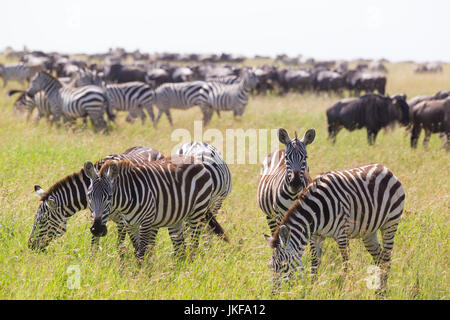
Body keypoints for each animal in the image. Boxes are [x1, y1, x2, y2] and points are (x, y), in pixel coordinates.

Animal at [28, 146, 163, 251]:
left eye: (42, 221)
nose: (30, 246)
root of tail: (151, 148)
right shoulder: (95, 219)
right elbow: (94, 246)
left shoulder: (122, 221)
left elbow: (120, 247)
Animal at [83, 155, 222, 262]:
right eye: (89, 195)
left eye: (110, 197)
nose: (96, 229)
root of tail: (195, 160)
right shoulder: (130, 225)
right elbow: (136, 250)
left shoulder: (145, 223)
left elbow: (141, 253)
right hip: (177, 218)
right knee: (180, 248)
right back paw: (178, 271)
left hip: (197, 212)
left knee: (194, 243)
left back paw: (189, 268)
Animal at [266, 164, 406, 292]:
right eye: (271, 266)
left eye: (283, 265)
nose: (274, 293)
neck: (316, 212)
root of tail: (385, 168)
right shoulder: (316, 236)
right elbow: (314, 264)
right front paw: (312, 289)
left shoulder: (342, 234)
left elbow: (346, 265)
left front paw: (344, 290)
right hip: (368, 232)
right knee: (380, 259)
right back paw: (377, 289)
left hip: (390, 223)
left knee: (387, 260)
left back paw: (383, 291)